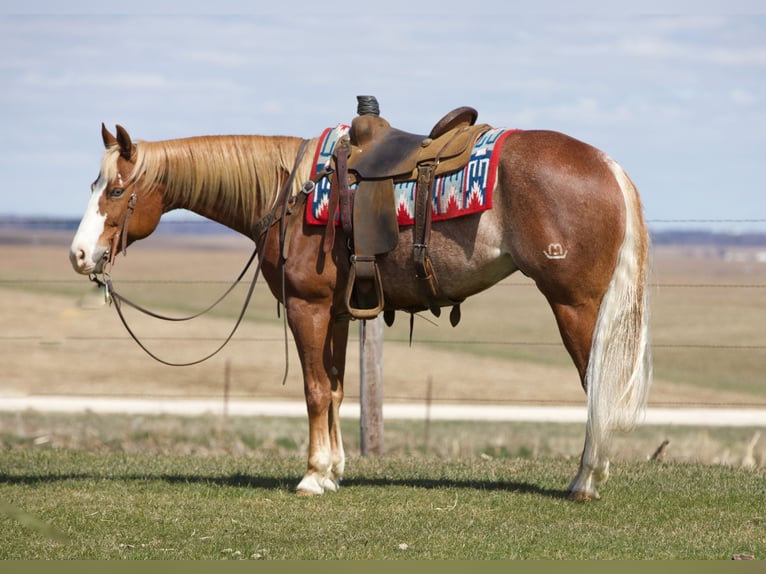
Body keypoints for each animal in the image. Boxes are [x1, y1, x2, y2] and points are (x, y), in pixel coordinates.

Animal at [69, 111, 652, 500]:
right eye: (94, 183)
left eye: (116, 190)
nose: (79, 254)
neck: (290, 191)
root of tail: (608, 166)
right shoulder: (338, 313)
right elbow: (336, 388)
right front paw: (333, 470)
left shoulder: (307, 308)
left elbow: (312, 389)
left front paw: (311, 475)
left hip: (575, 306)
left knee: (596, 385)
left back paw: (584, 480)